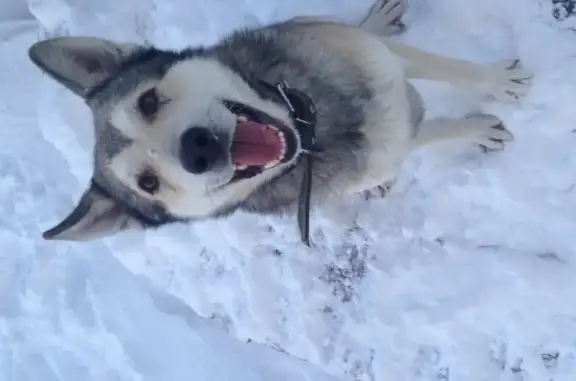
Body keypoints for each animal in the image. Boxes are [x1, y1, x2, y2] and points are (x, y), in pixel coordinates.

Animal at [27, 0, 532, 242]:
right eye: (148, 183)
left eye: (148, 101)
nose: (197, 148)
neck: (317, 126)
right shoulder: (393, 146)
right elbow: (428, 134)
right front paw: (478, 129)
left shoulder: (382, 60)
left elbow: (451, 69)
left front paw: (497, 82)